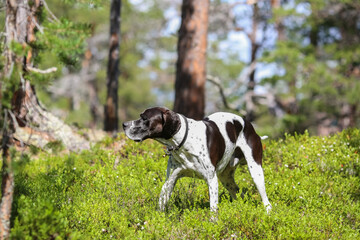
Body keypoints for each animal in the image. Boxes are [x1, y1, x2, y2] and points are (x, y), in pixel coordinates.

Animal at [122, 106, 272, 213]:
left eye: (144, 118)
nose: (124, 124)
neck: (184, 141)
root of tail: (249, 124)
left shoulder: (212, 180)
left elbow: (213, 209)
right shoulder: (169, 182)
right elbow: (161, 205)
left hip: (256, 171)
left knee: (265, 199)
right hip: (225, 177)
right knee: (236, 191)